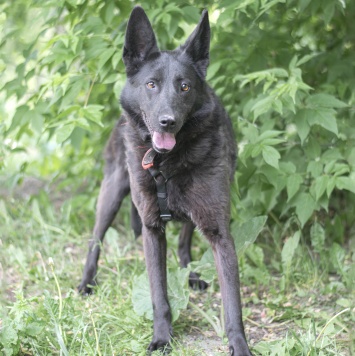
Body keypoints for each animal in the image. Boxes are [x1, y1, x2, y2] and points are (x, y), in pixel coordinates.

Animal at [80, 6, 253, 356]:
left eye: (185, 87)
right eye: (151, 84)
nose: (167, 122)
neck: (166, 163)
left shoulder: (220, 230)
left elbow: (232, 301)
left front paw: (239, 345)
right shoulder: (151, 230)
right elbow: (158, 293)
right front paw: (161, 337)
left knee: (185, 238)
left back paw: (191, 272)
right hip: (113, 190)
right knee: (96, 237)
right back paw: (86, 282)